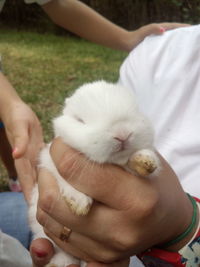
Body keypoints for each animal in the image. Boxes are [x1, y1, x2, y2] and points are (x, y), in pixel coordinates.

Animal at [28, 80, 160, 266]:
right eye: (80, 120)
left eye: (136, 111)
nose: (122, 134)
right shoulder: (49, 163)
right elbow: (63, 179)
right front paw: (80, 204)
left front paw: (146, 161)